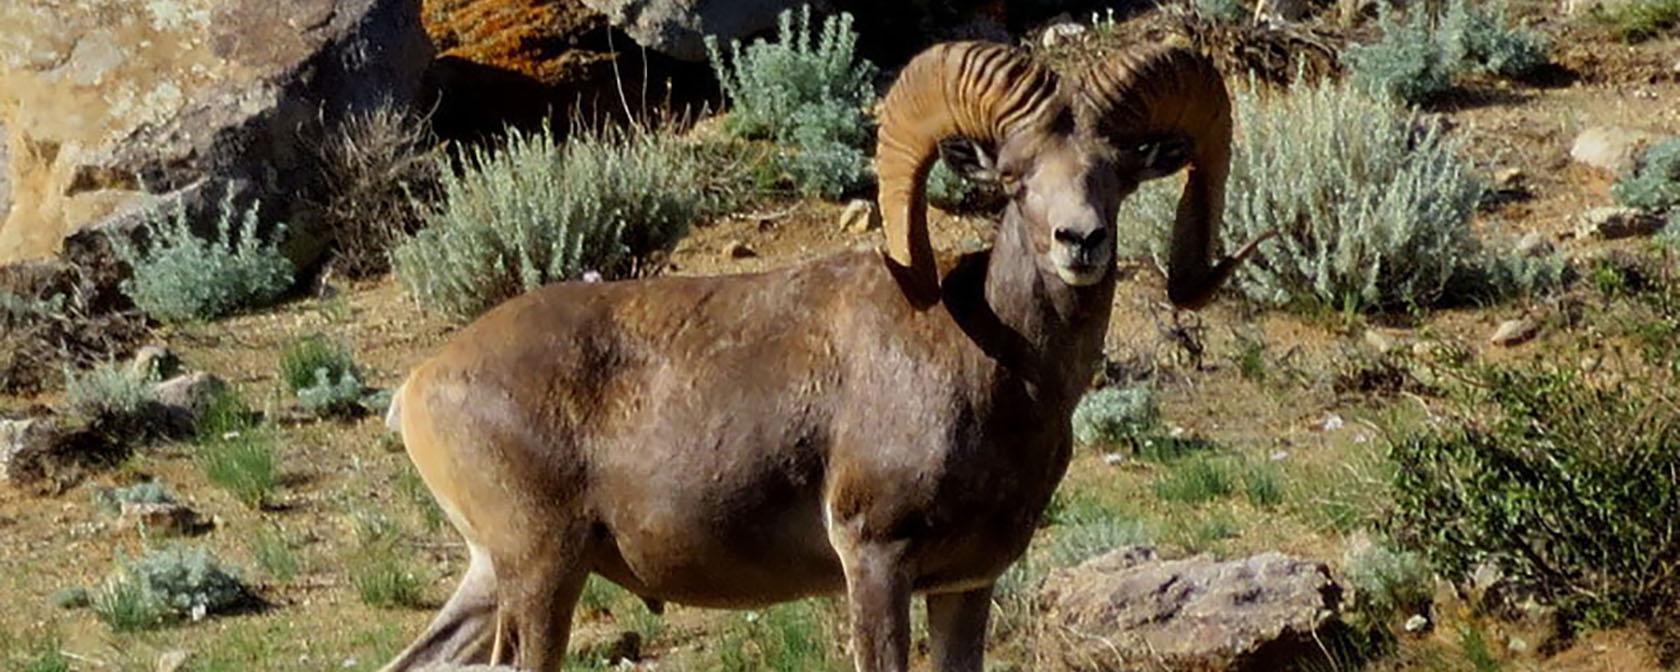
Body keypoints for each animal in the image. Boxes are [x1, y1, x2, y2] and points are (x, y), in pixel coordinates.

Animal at [381, 42, 1263, 672]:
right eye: (1012, 177)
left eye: (1119, 174)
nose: (1080, 240)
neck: (994, 366)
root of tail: (417, 388)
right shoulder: (875, 559)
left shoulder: (966, 585)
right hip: (538, 574)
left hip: (494, 580)